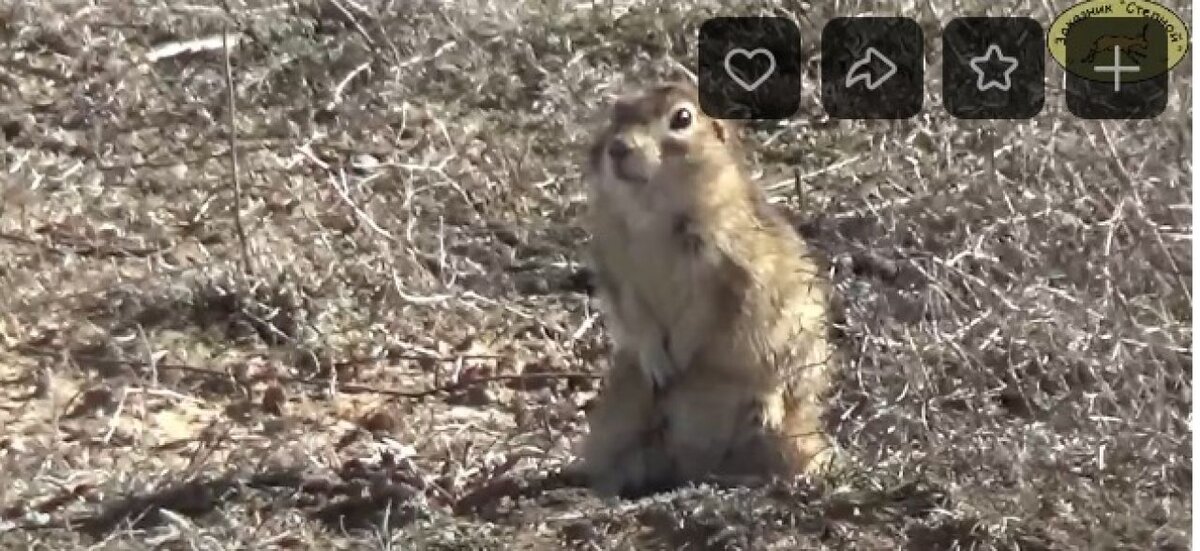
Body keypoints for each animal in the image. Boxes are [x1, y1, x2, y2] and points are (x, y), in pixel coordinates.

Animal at [573, 82, 840, 499]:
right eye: (616, 112)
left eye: (682, 117)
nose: (616, 148)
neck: (652, 210)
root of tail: (702, 464)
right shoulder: (615, 262)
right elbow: (636, 313)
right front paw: (659, 363)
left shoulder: (728, 267)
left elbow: (705, 313)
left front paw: (680, 357)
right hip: (616, 418)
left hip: (793, 422)